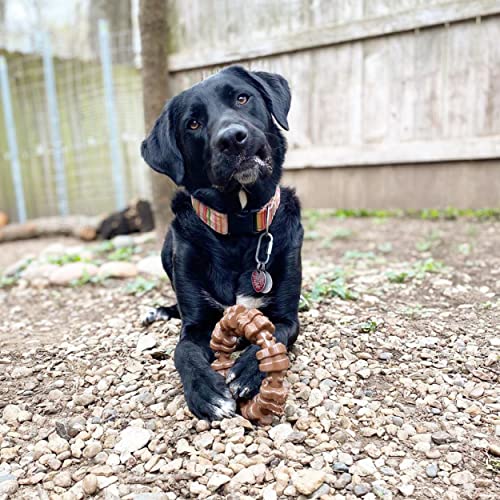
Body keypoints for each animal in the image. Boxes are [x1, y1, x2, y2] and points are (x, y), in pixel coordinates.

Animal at [142, 64, 304, 420]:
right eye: (193, 123)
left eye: (242, 98)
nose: (231, 138)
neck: (239, 224)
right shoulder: (195, 326)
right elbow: (183, 352)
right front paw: (206, 391)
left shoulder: (287, 318)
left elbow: (276, 334)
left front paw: (247, 371)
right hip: (167, 247)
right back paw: (158, 311)